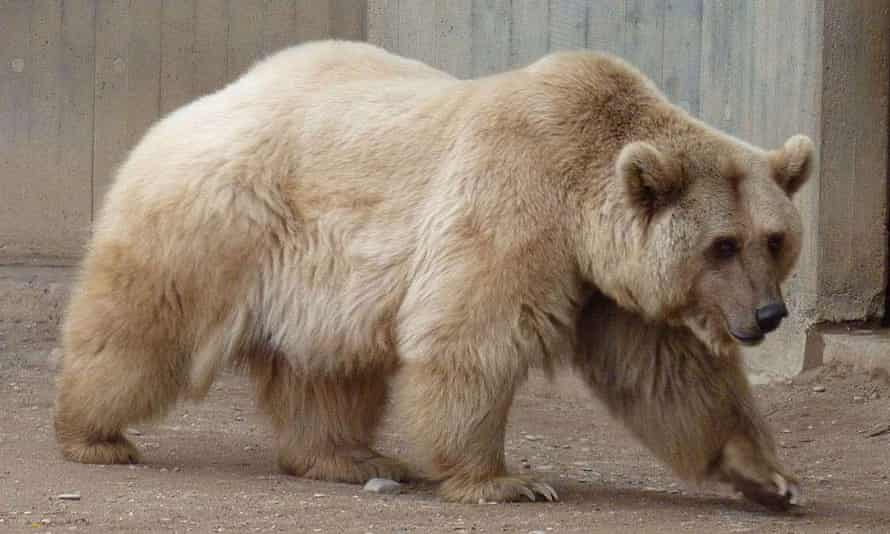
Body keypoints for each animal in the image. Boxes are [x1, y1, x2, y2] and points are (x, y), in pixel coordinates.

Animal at [52, 40, 808, 510]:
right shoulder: (516, 204)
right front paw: (506, 480)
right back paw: (93, 433)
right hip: (220, 220)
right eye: (722, 245)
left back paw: (351, 456)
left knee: (326, 370)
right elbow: (474, 336)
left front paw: (769, 477)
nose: (768, 315)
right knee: (142, 325)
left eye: (774, 239)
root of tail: (187, 108)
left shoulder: (608, 285)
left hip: (321, 280)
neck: (582, 203)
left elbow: (669, 373)